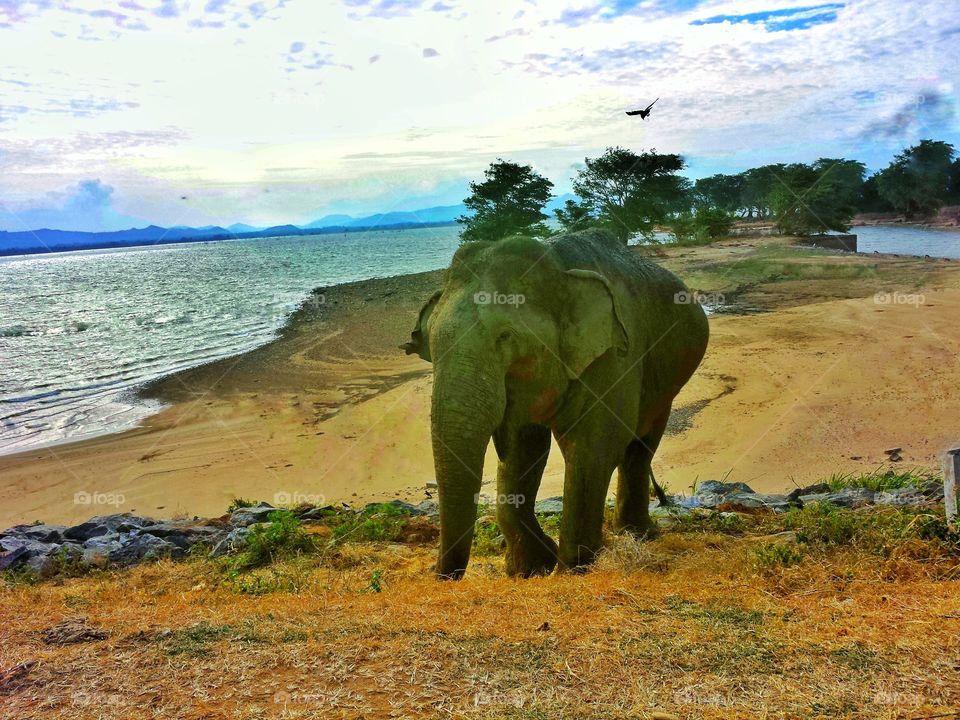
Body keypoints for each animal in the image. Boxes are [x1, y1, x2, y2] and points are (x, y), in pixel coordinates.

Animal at [402, 228, 709, 579]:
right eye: (432, 345)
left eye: (506, 336)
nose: (440, 575)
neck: (557, 268)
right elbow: (523, 452)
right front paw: (531, 568)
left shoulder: (613, 356)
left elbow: (593, 448)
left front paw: (572, 570)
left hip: (667, 379)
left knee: (641, 443)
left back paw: (638, 534)